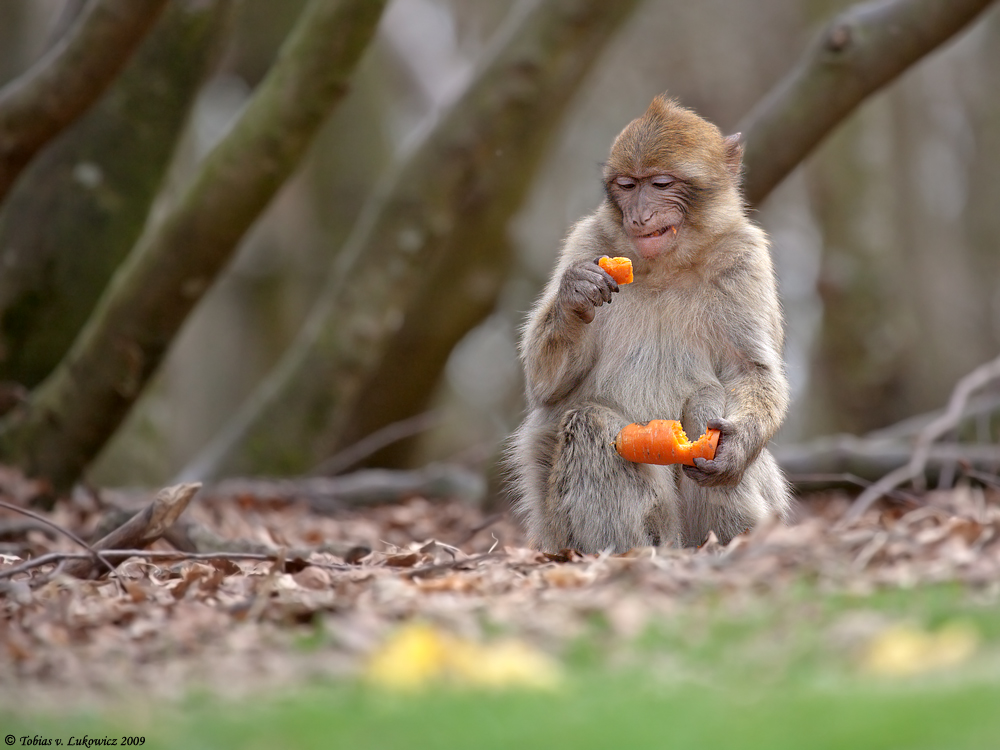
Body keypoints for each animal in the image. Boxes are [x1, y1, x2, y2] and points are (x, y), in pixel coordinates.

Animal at [512, 94, 792, 556]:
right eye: (627, 185)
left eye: (660, 184)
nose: (639, 216)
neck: (665, 268)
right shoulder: (586, 243)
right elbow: (544, 386)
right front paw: (574, 296)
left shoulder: (745, 258)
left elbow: (752, 370)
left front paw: (734, 448)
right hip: (559, 529)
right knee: (589, 423)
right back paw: (628, 551)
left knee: (707, 400)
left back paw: (732, 542)